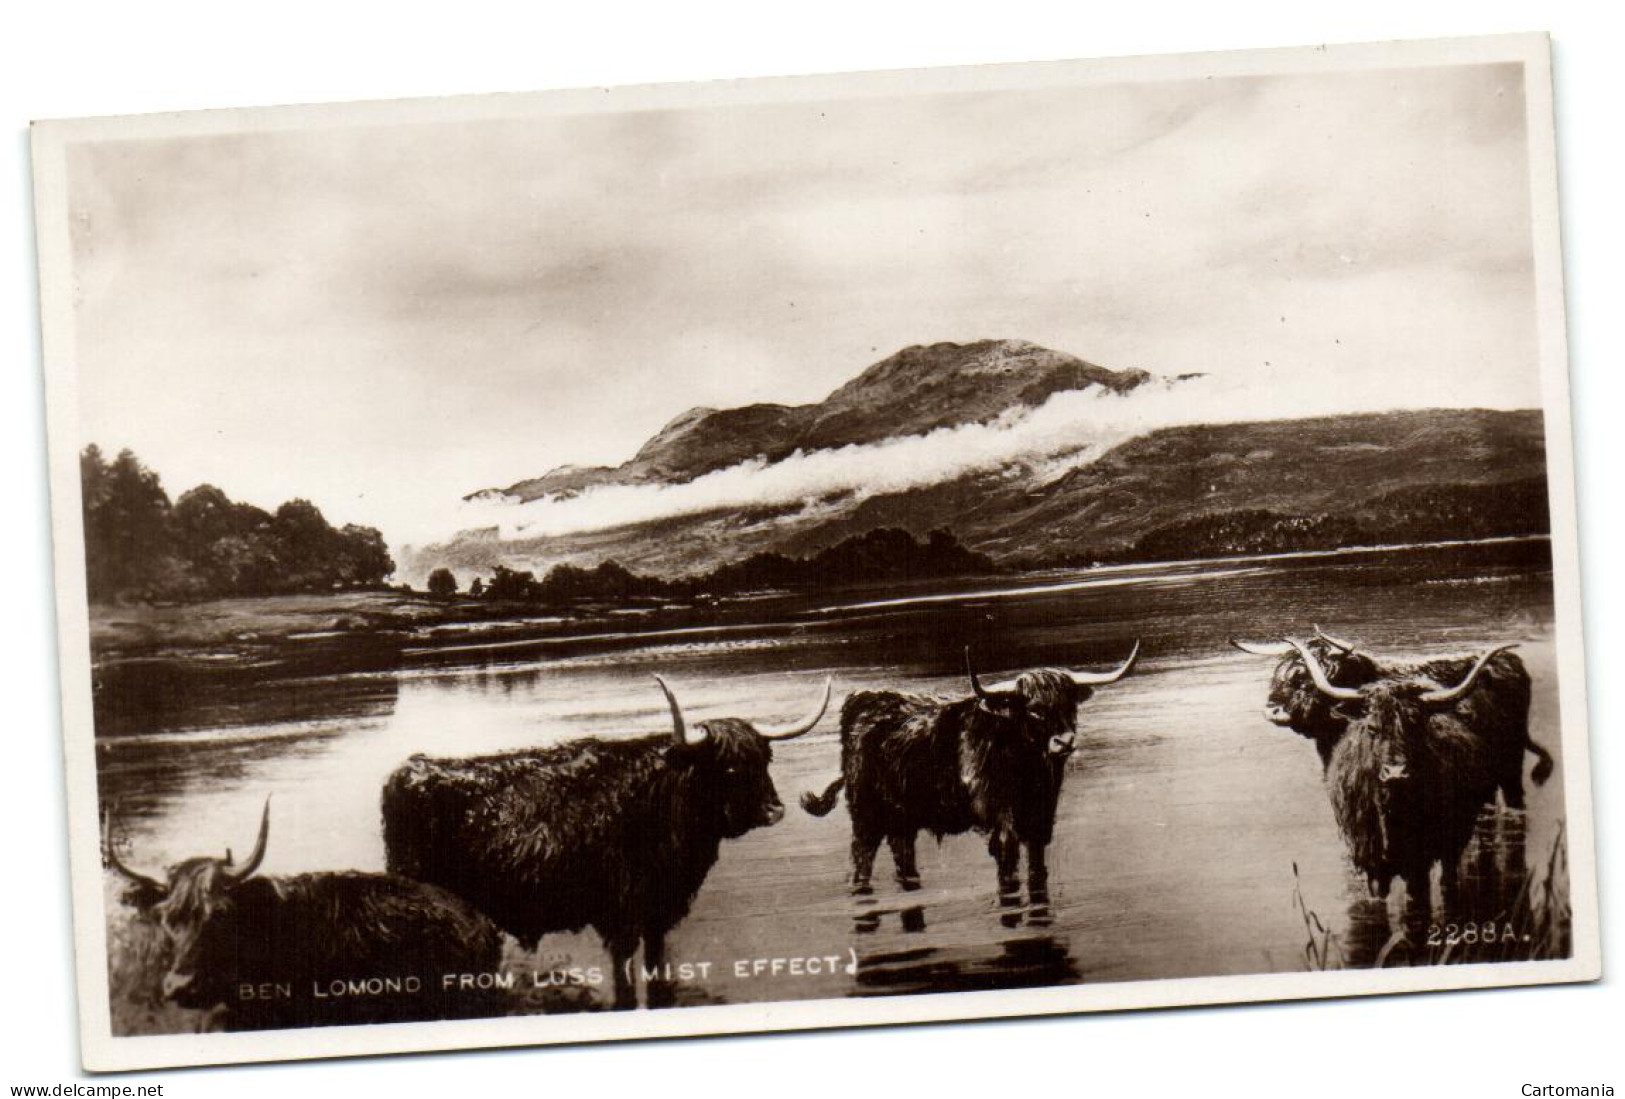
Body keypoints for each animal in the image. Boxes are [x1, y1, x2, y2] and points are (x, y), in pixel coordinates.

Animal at [802, 643, 1137, 903]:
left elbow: (1037, 871)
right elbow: (1009, 870)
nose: (1064, 742)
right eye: (1034, 710)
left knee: (903, 853)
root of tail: (861, 700)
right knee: (862, 857)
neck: (1027, 769)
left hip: (903, 817)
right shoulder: (1002, 824)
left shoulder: (1040, 822)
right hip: (865, 814)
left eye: (1071, 706)